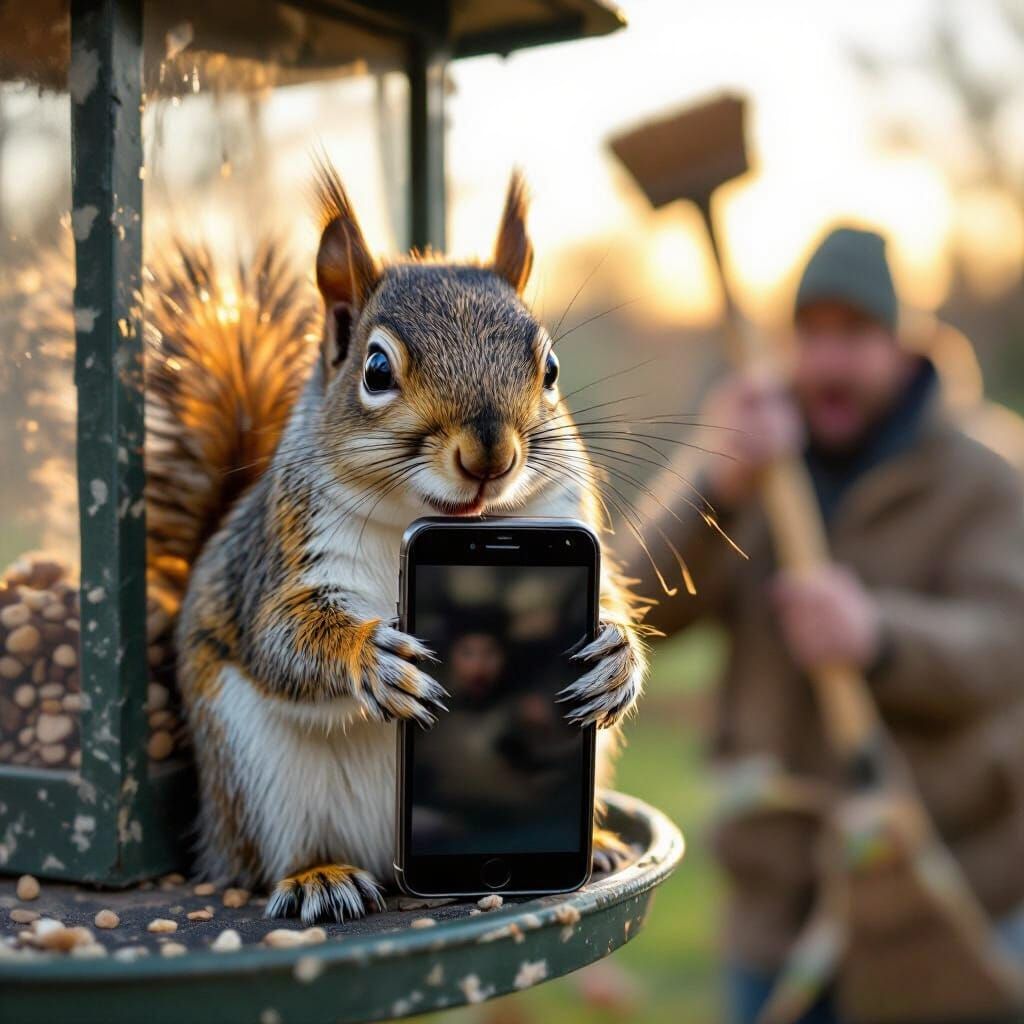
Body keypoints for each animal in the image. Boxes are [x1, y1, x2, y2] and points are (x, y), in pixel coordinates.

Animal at [144, 158, 649, 924]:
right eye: (376, 371)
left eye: (551, 369)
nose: (490, 453)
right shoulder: (283, 555)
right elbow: (278, 636)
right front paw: (367, 656)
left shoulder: (569, 520)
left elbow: (610, 595)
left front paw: (617, 654)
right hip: (253, 774)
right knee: (271, 856)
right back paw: (318, 877)